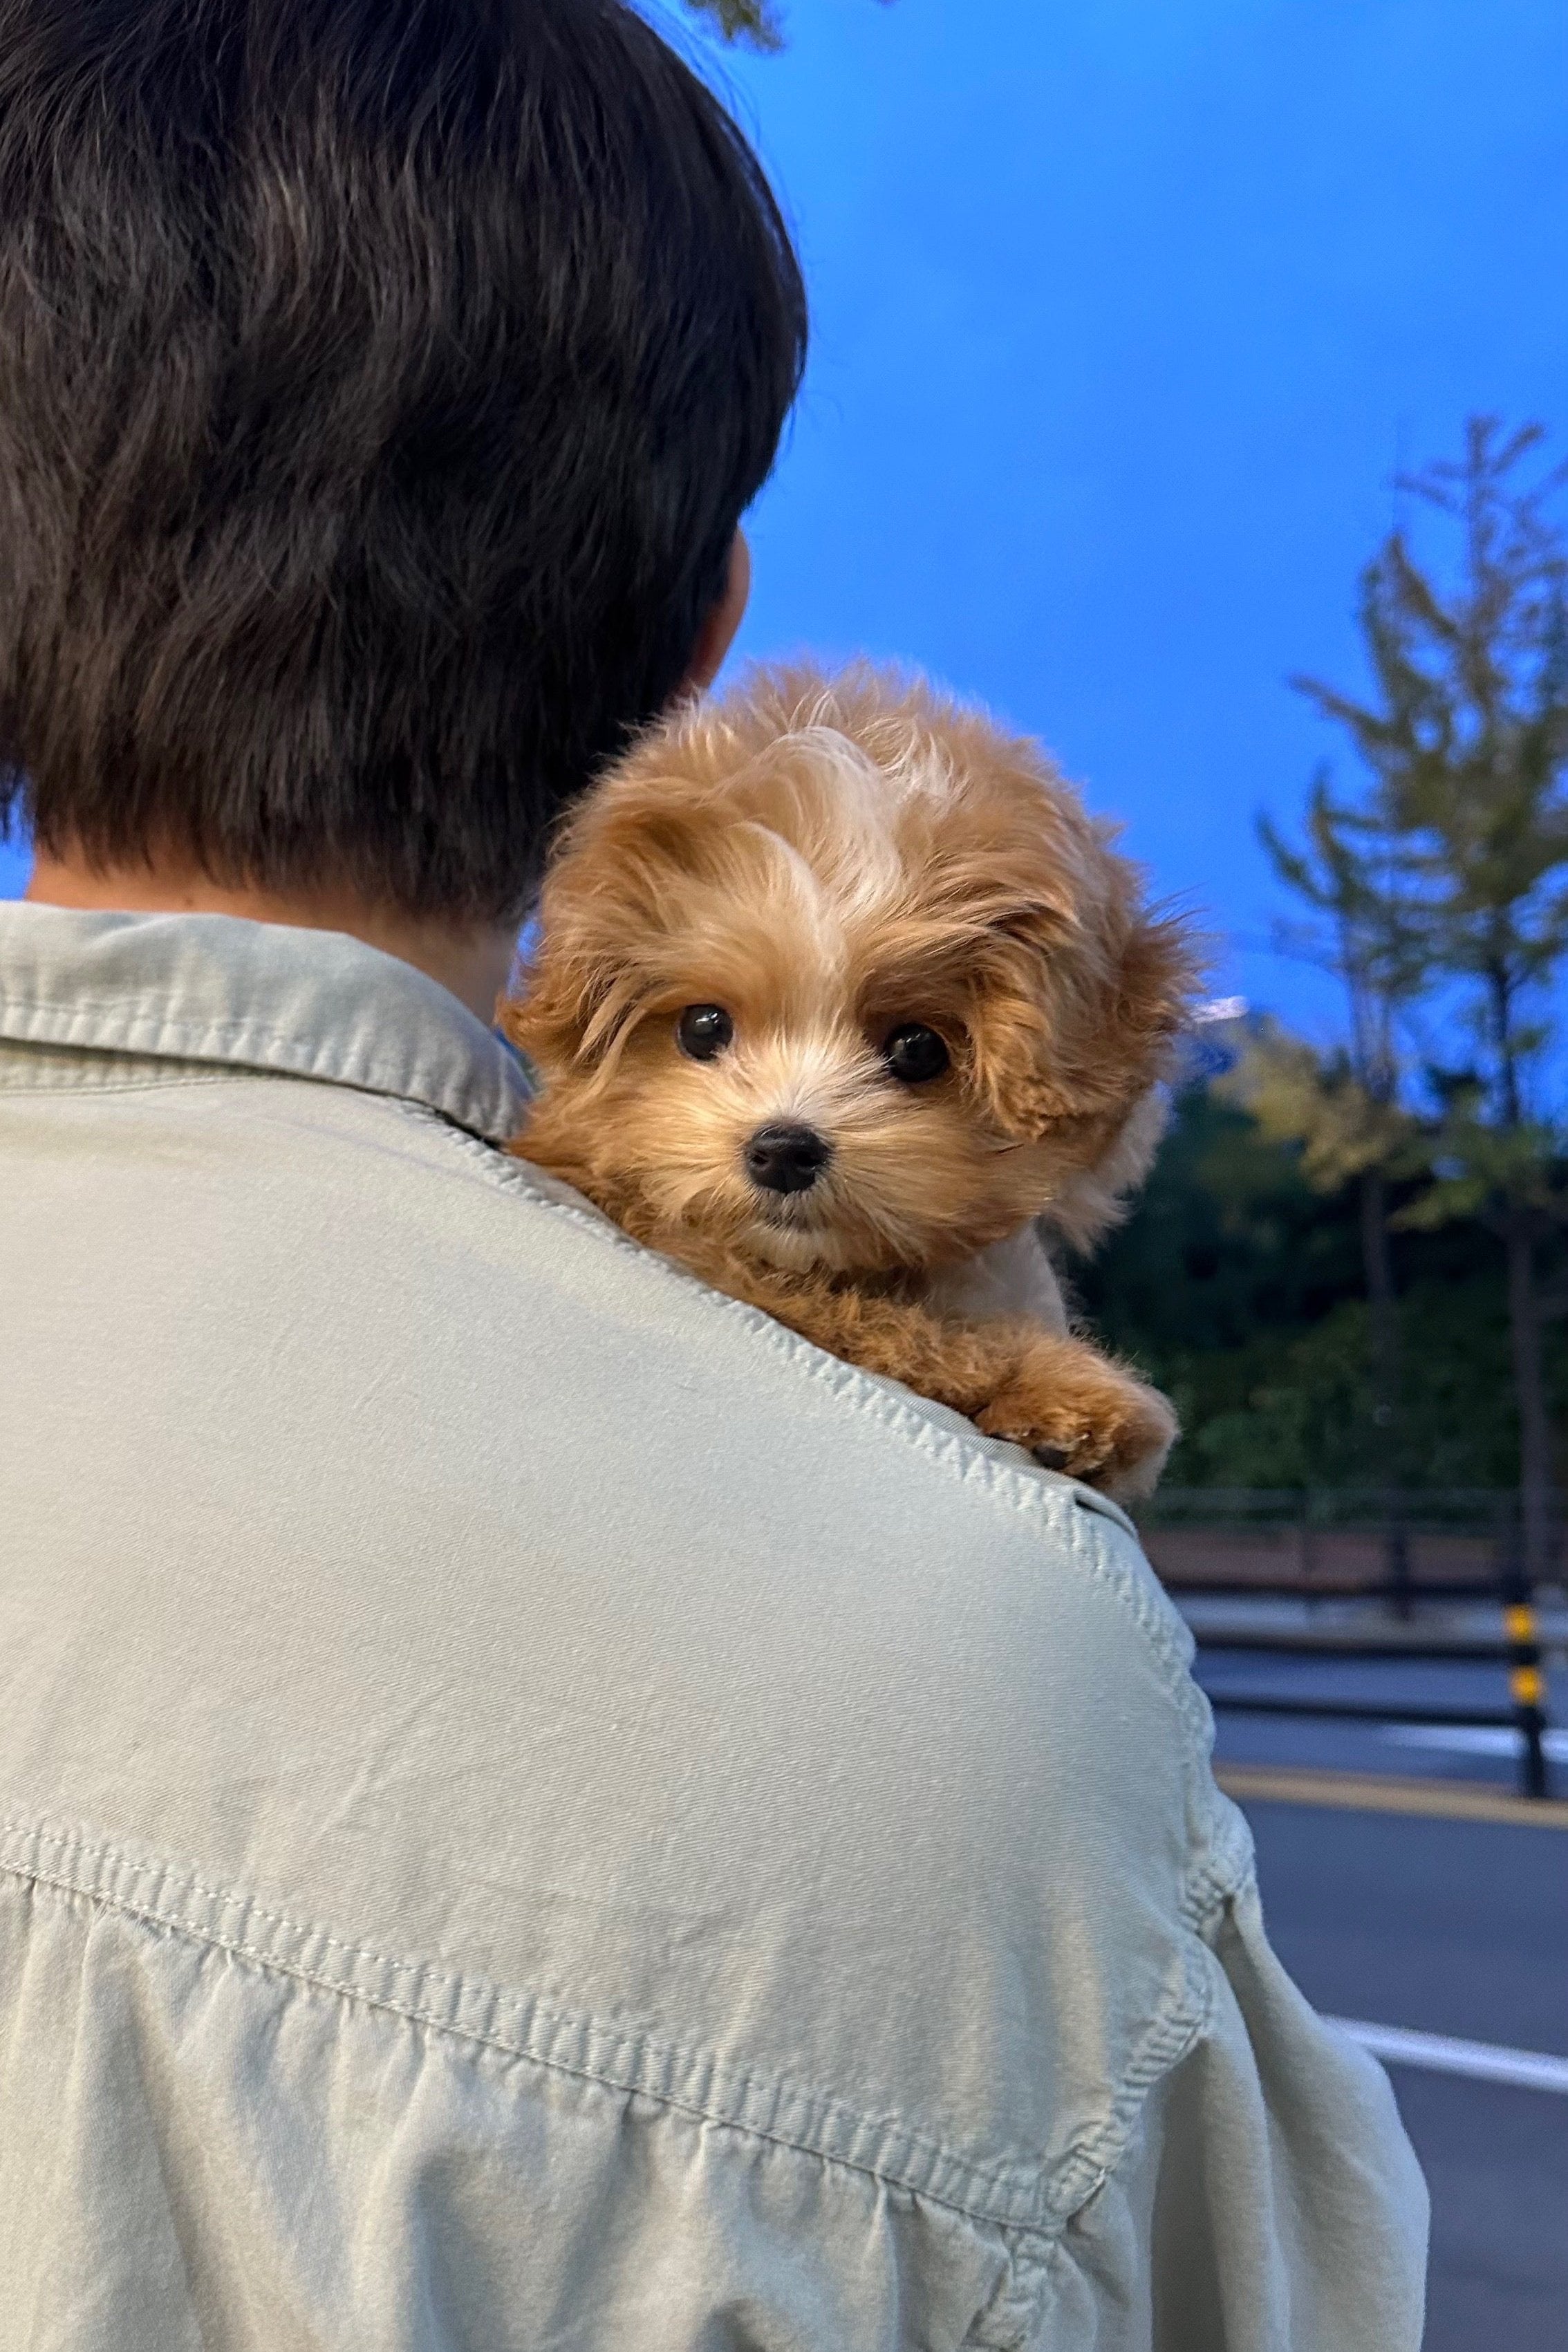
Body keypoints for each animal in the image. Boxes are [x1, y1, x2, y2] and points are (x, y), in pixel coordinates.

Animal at [510, 672, 1194, 1495]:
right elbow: (892, 1330)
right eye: (704, 1028)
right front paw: (1071, 1397)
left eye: (918, 1048)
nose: (782, 1150)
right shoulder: (716, 1257)